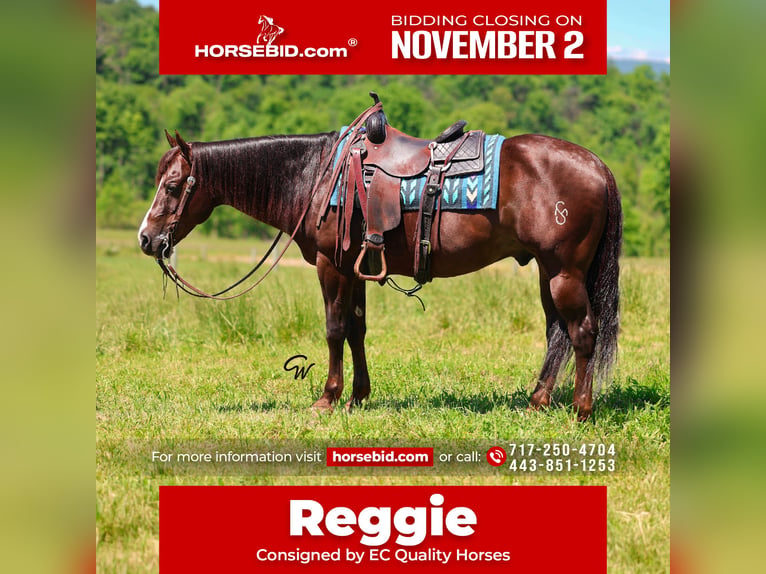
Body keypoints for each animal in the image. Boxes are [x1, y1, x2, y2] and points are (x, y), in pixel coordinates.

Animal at [137, 114, 622, 422]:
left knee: (581, 332)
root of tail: (597, 164)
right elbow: (357, 329)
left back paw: (580, 410)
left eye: (173, 185)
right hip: (547, 271)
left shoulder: (332, 266)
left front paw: (328, 399)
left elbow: (334, 329)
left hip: (564, 272)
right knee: (557, 332)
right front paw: (358, 396)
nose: (146, 238)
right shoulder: (356, 270)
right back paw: (538, 401)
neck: (317, 176)